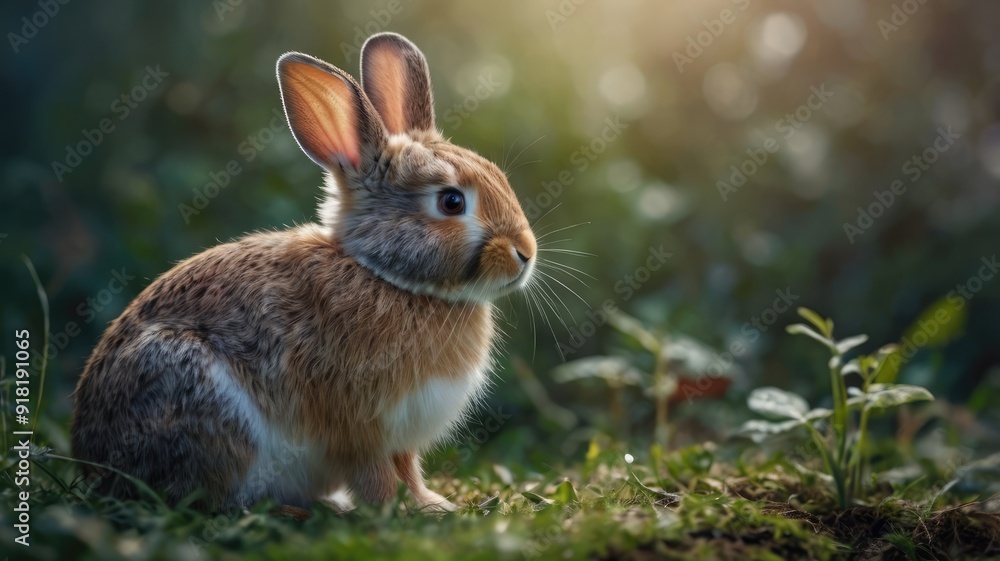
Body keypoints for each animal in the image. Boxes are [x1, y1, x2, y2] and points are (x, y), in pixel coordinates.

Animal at [71, 32, 536, 512]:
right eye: (451, 202)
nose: (526, 253)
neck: (388, 277)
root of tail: (95, 465)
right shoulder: (359, 427)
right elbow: (375, 476)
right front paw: (395, 512)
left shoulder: (400, 439)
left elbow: (408, 470)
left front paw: (432, 505)